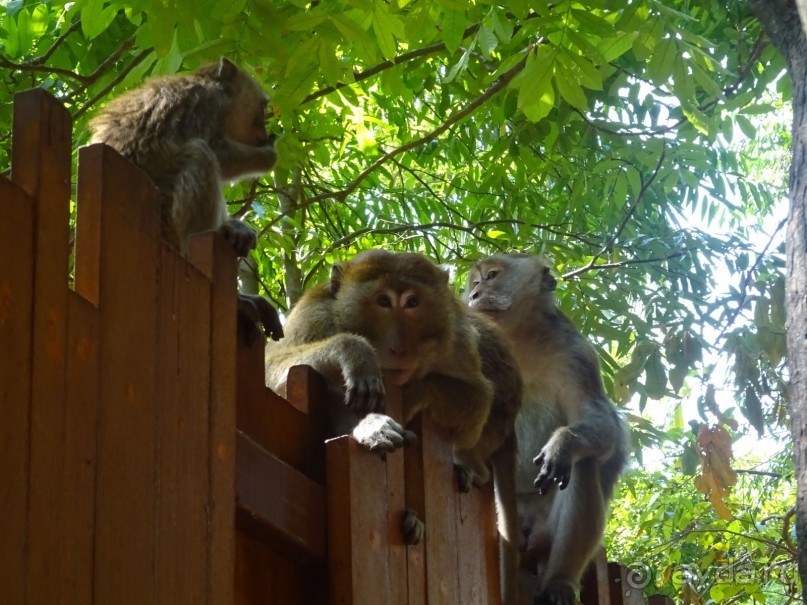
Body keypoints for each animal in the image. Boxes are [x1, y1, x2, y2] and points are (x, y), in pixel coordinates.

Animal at [88, 56, 282, 340]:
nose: (265, 129)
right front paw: (268, 155)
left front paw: (235, 229)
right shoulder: (207, 103)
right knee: (201, 155)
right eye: (262, 109)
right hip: (167, 221)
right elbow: (218, 151)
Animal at [464, 252, 628, 604]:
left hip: (545, 529)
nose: (473, 294)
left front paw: (563, 444)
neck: (519, 338)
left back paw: (559, 581)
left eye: (492, 276)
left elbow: (599, 420)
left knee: (582, 464)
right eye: (475, 282)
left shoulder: (577, 354)